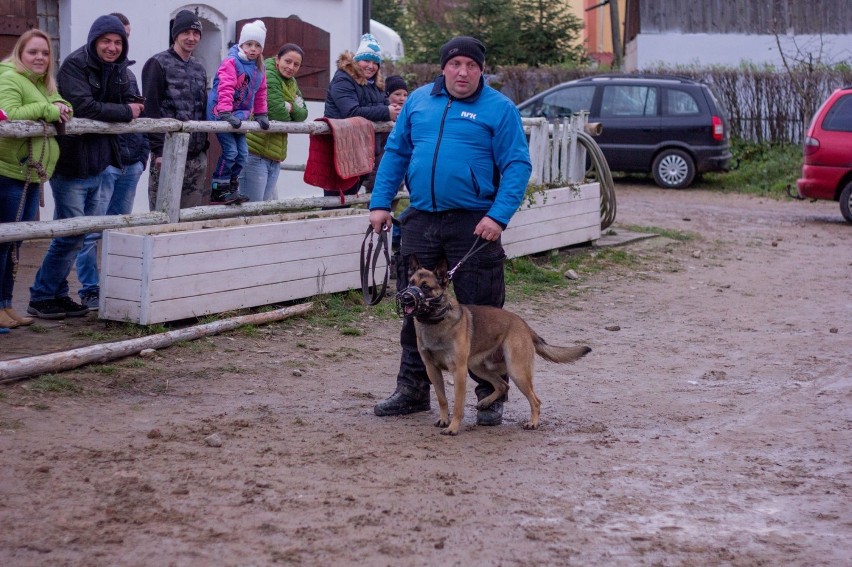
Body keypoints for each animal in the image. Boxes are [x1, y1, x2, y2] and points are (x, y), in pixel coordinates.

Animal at [400, 255, 592, 438]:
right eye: (410, 283)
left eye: (426, 287)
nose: (405, 298)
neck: (435, 321)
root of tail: (524, 324)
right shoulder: (432, 369)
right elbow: (442, 399)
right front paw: (443, 419)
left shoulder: (459, 371)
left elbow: (458, 405)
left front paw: (453, 427)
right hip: (478, 367)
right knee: (502, 385)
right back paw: (485, 402)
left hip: (516, 370)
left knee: (534, 400)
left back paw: (533, 422)